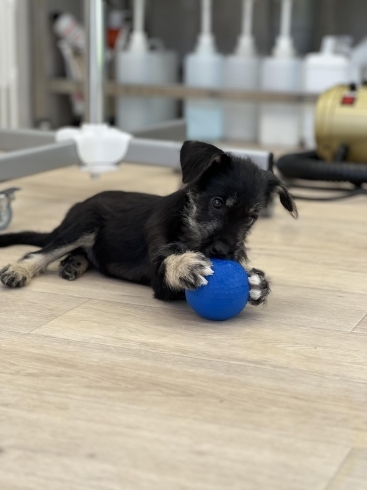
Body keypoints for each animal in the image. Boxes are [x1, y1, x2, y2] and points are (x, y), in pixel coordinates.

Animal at [0, 140, 300, 304]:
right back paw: (20, 269)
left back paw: (74, 263)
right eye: (217, 203)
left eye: (251, 218)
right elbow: (168, 266)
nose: (224, 252)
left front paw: (257, 283)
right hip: (85, 224)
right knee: (41, 251)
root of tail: (75, 209)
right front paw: (184, 266)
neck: (185, 224)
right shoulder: (160, 280)